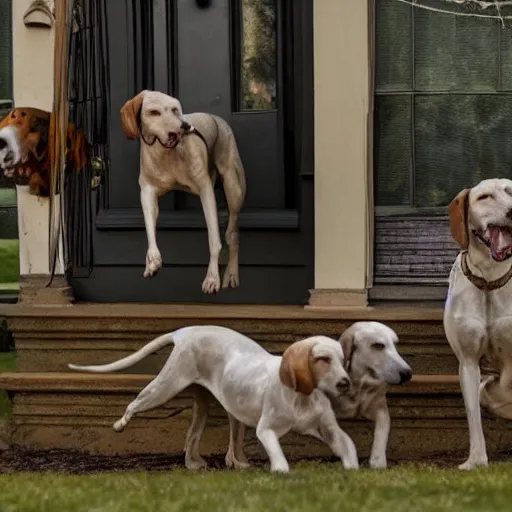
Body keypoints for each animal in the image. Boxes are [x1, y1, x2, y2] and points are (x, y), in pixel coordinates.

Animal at [69, 324, 360, 472]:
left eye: (343, 360)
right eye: (322, 359)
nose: (345, 383)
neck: (303, 394)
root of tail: (187, 330)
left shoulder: (329, 429)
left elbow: (347, 445)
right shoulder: (267, 430)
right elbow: (277, 454)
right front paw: (280, 471)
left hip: (212, 404)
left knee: (195, 437)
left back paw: (210, 463)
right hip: (165, 387)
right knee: (135, 403)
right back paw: (120, 424)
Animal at [121, 90, 247, 294]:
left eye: (175, 109)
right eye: (153, 112)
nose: (185, 126)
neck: (166, 153)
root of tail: (217, 118)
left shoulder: (206, 190)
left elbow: (214, 240)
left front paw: (212, 277)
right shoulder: (147, 192)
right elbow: (149, 228)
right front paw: (152, 260)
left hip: (233, 189)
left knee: (232, 234)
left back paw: (232, 273)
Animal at [184, 322, 412, 470]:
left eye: (395, 344)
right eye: (378, 345)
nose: (407, 373)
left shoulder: (375, 408)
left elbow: (381, 430)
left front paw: (377, 461)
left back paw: (232, 461)